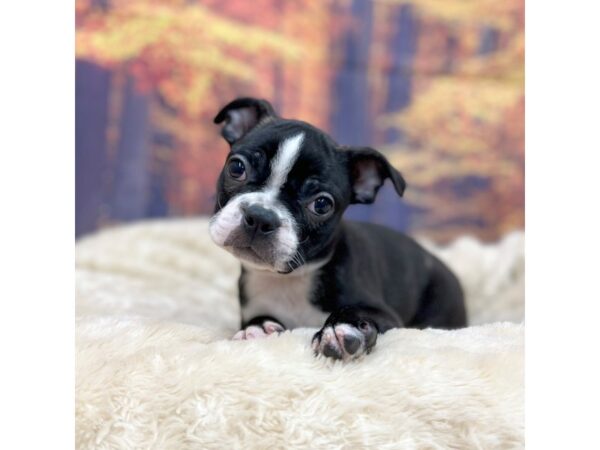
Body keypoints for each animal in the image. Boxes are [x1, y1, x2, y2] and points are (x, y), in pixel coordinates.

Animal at [209, 97, 466, 362]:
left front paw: (341, 328)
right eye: (237, 168)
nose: (261, 217)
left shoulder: (388, 316)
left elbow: (355, 311)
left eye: (321, 204)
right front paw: (258, 328)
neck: (291, 278)